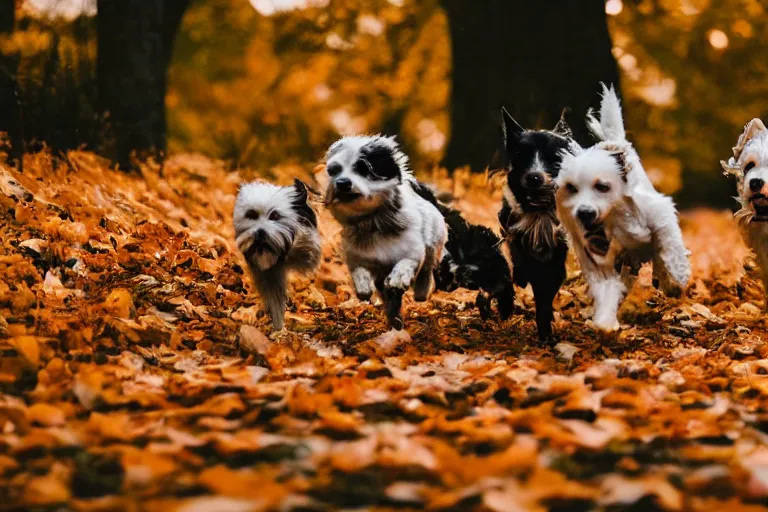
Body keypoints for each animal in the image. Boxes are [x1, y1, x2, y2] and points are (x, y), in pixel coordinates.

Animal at [320, 134, 448, 330]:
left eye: (363, 168)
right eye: (333, 171)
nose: (342, 183)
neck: (373, 223)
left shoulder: (412, 251)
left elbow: (406, 263)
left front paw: (399, 278)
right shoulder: (358, 258)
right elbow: (359, 272)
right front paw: (364, 288)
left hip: (433, 244)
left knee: (427, 268)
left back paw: (421, 290)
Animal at [496, 107, 572, 340]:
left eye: (554, 158)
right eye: (522, 156)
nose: (534, 177)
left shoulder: (556, 263)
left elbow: (545, 299)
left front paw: (546, 334)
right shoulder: (511, 230)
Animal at [556, 85, 692, 332]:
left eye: (602, 186)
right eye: (571, 188)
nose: (584, 213)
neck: (614, 220)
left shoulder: (659, 212)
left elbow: (669, 243)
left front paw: (679, 273)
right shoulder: (599, 261)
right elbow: (607, 290)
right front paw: (605, 323)